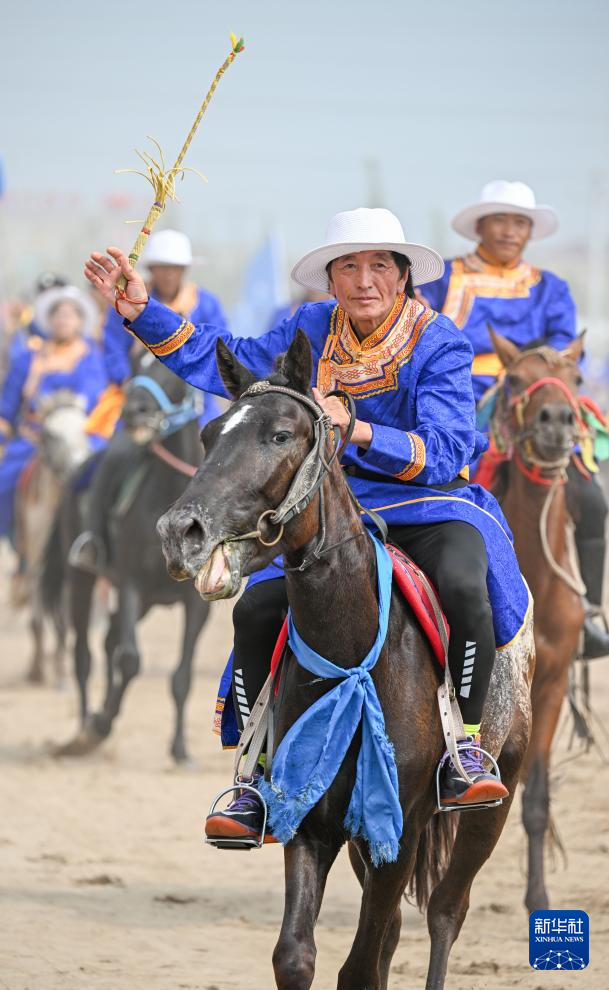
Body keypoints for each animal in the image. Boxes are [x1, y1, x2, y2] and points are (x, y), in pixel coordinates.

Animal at [45, 352, 211, 764]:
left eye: (173, 373)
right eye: (136, 366)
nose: (134, 411)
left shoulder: (196, 605)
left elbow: (181, 676)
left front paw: (180, 749)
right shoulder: (132, 584)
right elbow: (131, 660)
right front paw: (100, 724)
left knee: (107, 643)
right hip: (83, 581)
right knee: (84, 656)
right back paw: (84, 728)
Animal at [156, 334, 532, 990]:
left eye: (281, 435)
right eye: (207, 436)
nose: (183, 532)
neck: (352, 654)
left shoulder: (400, 826)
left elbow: (359, 965)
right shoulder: (314, 824)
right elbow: (297, 957)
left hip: (497, 792)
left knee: (445, 911)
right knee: (397, 930)